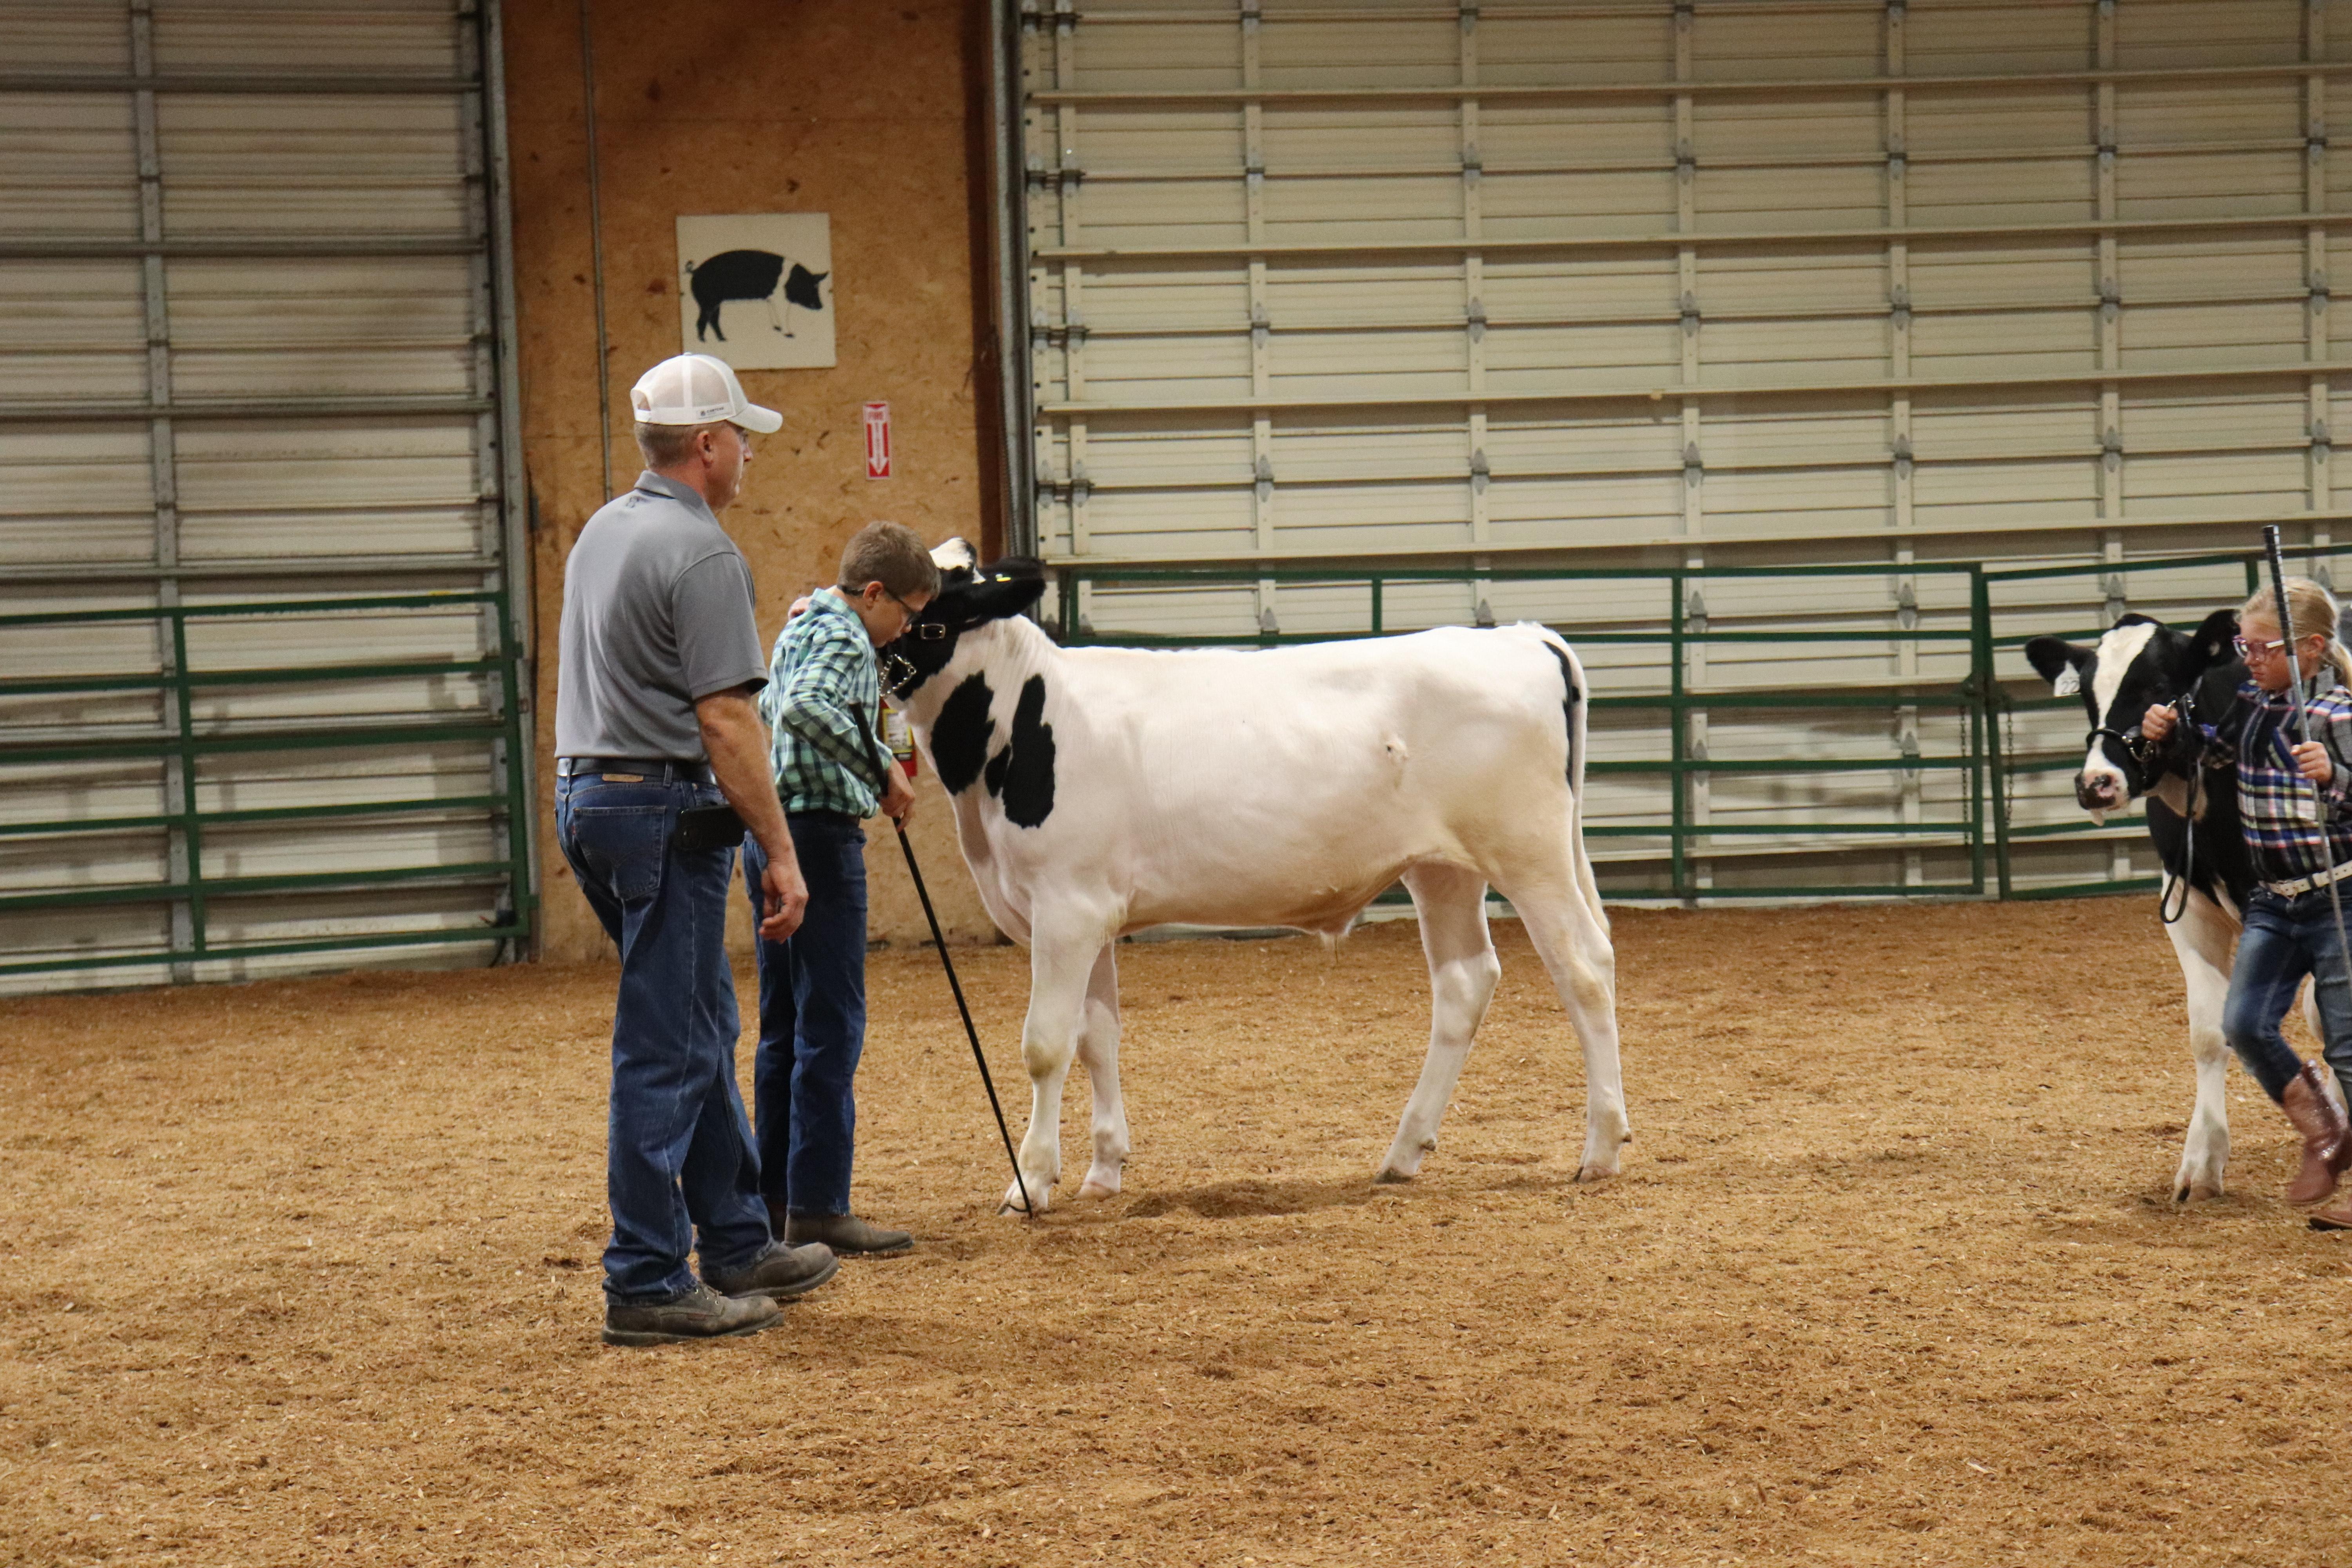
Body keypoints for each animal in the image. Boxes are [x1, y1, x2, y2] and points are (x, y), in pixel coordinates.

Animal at [684, 250, 829, 342]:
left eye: (817, 288)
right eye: (810, 288)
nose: (821, 307)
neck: (790, 281)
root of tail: (695, 271)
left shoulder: (771, 299)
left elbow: (774, 313)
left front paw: (777, 329)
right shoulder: (780, 300)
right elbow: (784, 316)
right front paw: (790, 335)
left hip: (715, 303)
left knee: (713, 320)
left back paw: (723, 340)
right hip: (708, 302)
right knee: (702, 321)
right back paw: (704, 341)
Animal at [877, 543, 1629, 1214]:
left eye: (933, 618)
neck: (1023, 724)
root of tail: (1521, 637)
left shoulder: (1066, 908)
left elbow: (1046, 1044)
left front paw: (1030, 1182)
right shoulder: (1091, 911)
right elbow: (1098, 1036)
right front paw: (1104, 1170)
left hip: (1529, 851)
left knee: (1585, 966)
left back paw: (1600, 1148)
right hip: (1442, 868)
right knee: (1466, 982)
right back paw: (1403, 1152)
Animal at [2023, 609, 2310, 1200]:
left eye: (2156, 685)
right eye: (2085, 692)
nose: (2096, 783)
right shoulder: (2187, 903)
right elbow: (2210, 1030)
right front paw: (2202, 1163)